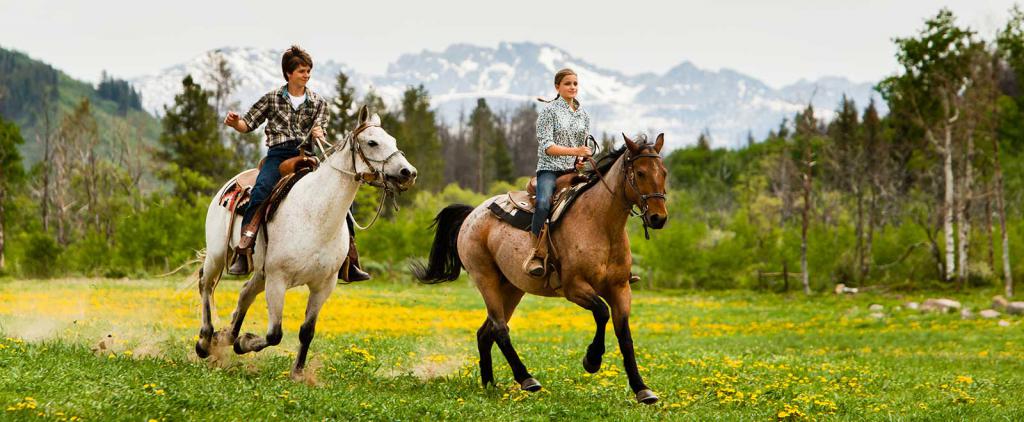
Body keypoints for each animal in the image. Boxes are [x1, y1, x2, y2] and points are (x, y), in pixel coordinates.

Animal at [192, 106, 415, 378]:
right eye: (372, 142)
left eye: (393, 141)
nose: (408, 173)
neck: (315, 214)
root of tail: (232, 183)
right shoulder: (278, 280)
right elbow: (274, 334)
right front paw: (245, 342)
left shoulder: (323, 285)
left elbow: (307, 331)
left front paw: (297, 373)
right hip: (218, 255)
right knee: (205, 284)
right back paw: (205, 341)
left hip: (261, 273)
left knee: (244, 293)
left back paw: (224, 337)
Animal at [411, 133, 667, 403]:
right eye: (640, 172)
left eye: (664, 172)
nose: (659, 218)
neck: (600, 225)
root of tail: (472, 214)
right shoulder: (574, 288)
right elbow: (601, 312)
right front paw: (592, 360)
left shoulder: (620, 289)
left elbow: (625, 335)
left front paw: (642, 389)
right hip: (485, 279)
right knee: (500, 329)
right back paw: (526, 379)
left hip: (511, 288)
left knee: (485, 332)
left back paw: (489, 384)